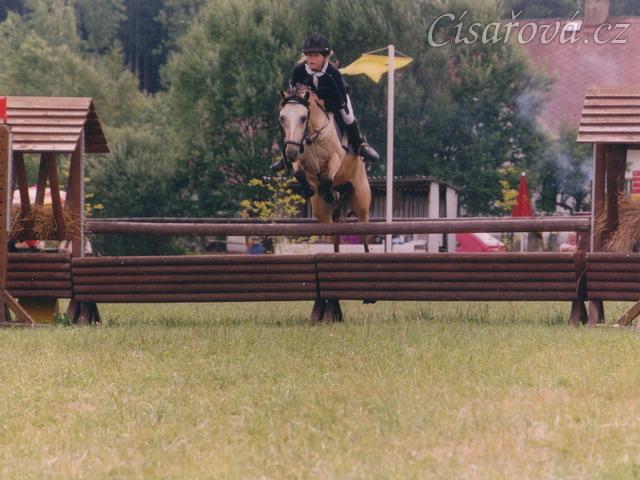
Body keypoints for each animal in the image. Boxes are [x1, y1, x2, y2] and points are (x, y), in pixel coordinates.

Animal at [278, 85, 371, 253]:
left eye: (303, 117)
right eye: (282, 118)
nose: (290, 153)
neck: (312, 135)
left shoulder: (336, 157)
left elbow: (327, 177)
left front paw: (330, 193)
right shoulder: (299, 157)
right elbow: (299, 173)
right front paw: (310, 190)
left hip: (361, 201)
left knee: (365, 235)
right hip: (322, 212)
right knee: (334, 233)